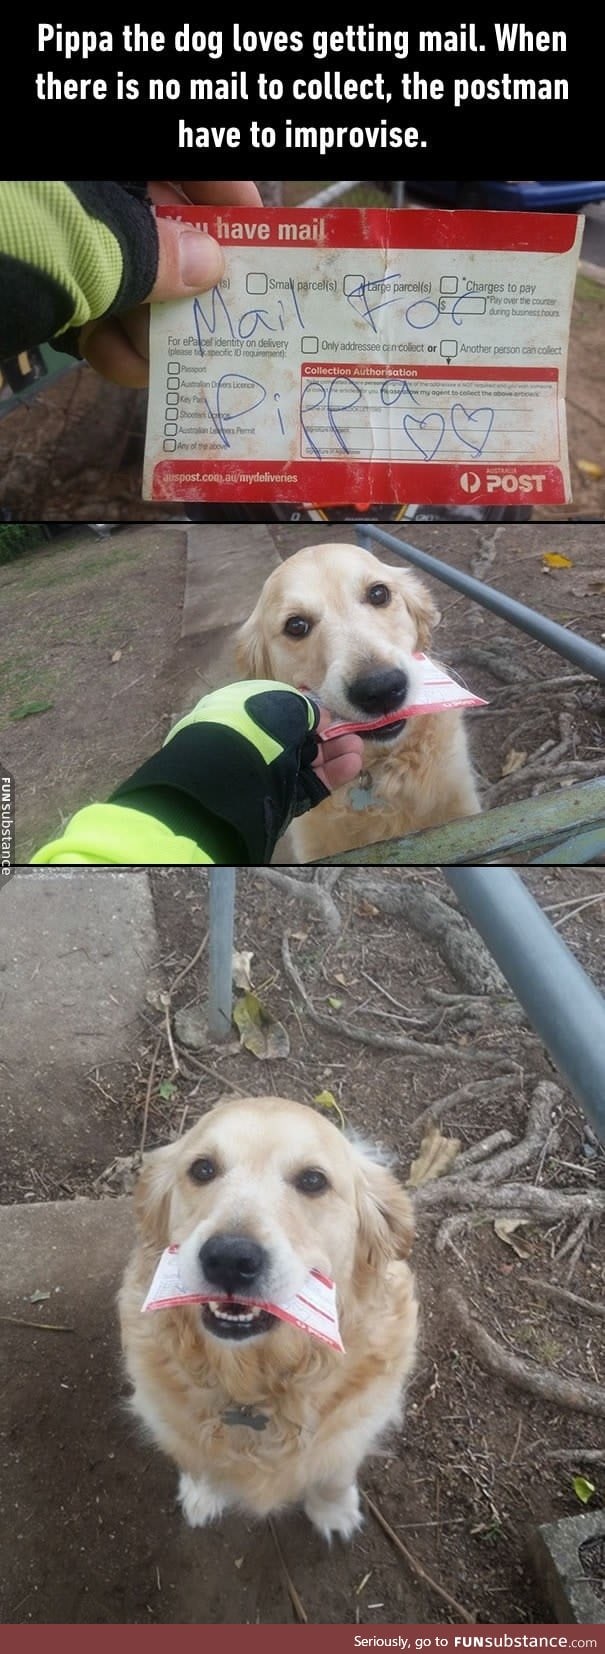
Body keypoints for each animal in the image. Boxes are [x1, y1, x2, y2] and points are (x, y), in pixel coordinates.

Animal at [120, 1098, 418, 1534]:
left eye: (313, 1180)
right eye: (202, 1169)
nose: (229, 1259)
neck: (253, 1388)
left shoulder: (354, 1427)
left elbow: (334, 1473)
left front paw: (333, 1511)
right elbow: (196, 1458)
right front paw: (204, 1493)